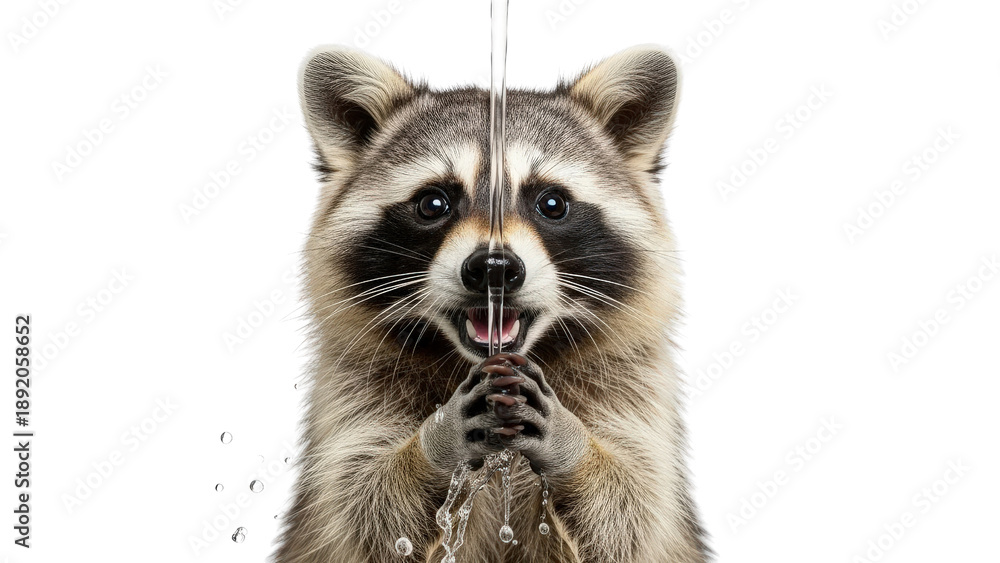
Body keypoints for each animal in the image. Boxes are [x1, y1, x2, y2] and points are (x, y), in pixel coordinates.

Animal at [275, 44, 707, 563]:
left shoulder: (633, 382)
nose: (494, 269)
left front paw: (573, 445)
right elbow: (361, 503)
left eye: (552, 203)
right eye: (433, 203)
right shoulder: (354, 384)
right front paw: (437, 439)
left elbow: (635, 510)